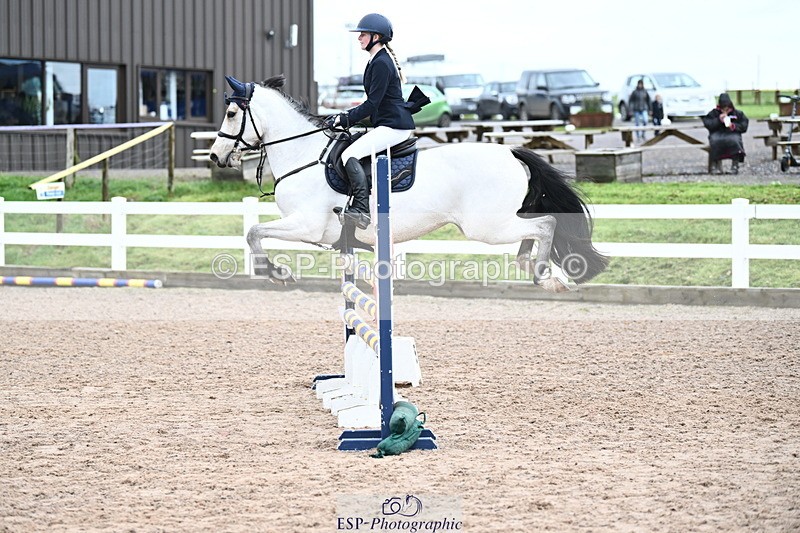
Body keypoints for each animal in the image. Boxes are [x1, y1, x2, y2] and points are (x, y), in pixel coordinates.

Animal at [209, 75, 608, 293]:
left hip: (486, 226)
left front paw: (276, 273)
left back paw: (543, 275)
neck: (304, 153)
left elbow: (254, 233)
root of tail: (510, 152)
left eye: (230, 113)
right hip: (499, 221)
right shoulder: (325, 236)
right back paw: (537, 269)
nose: (215, 156)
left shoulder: (307, 226)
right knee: (535, 230)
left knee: (546, 224)